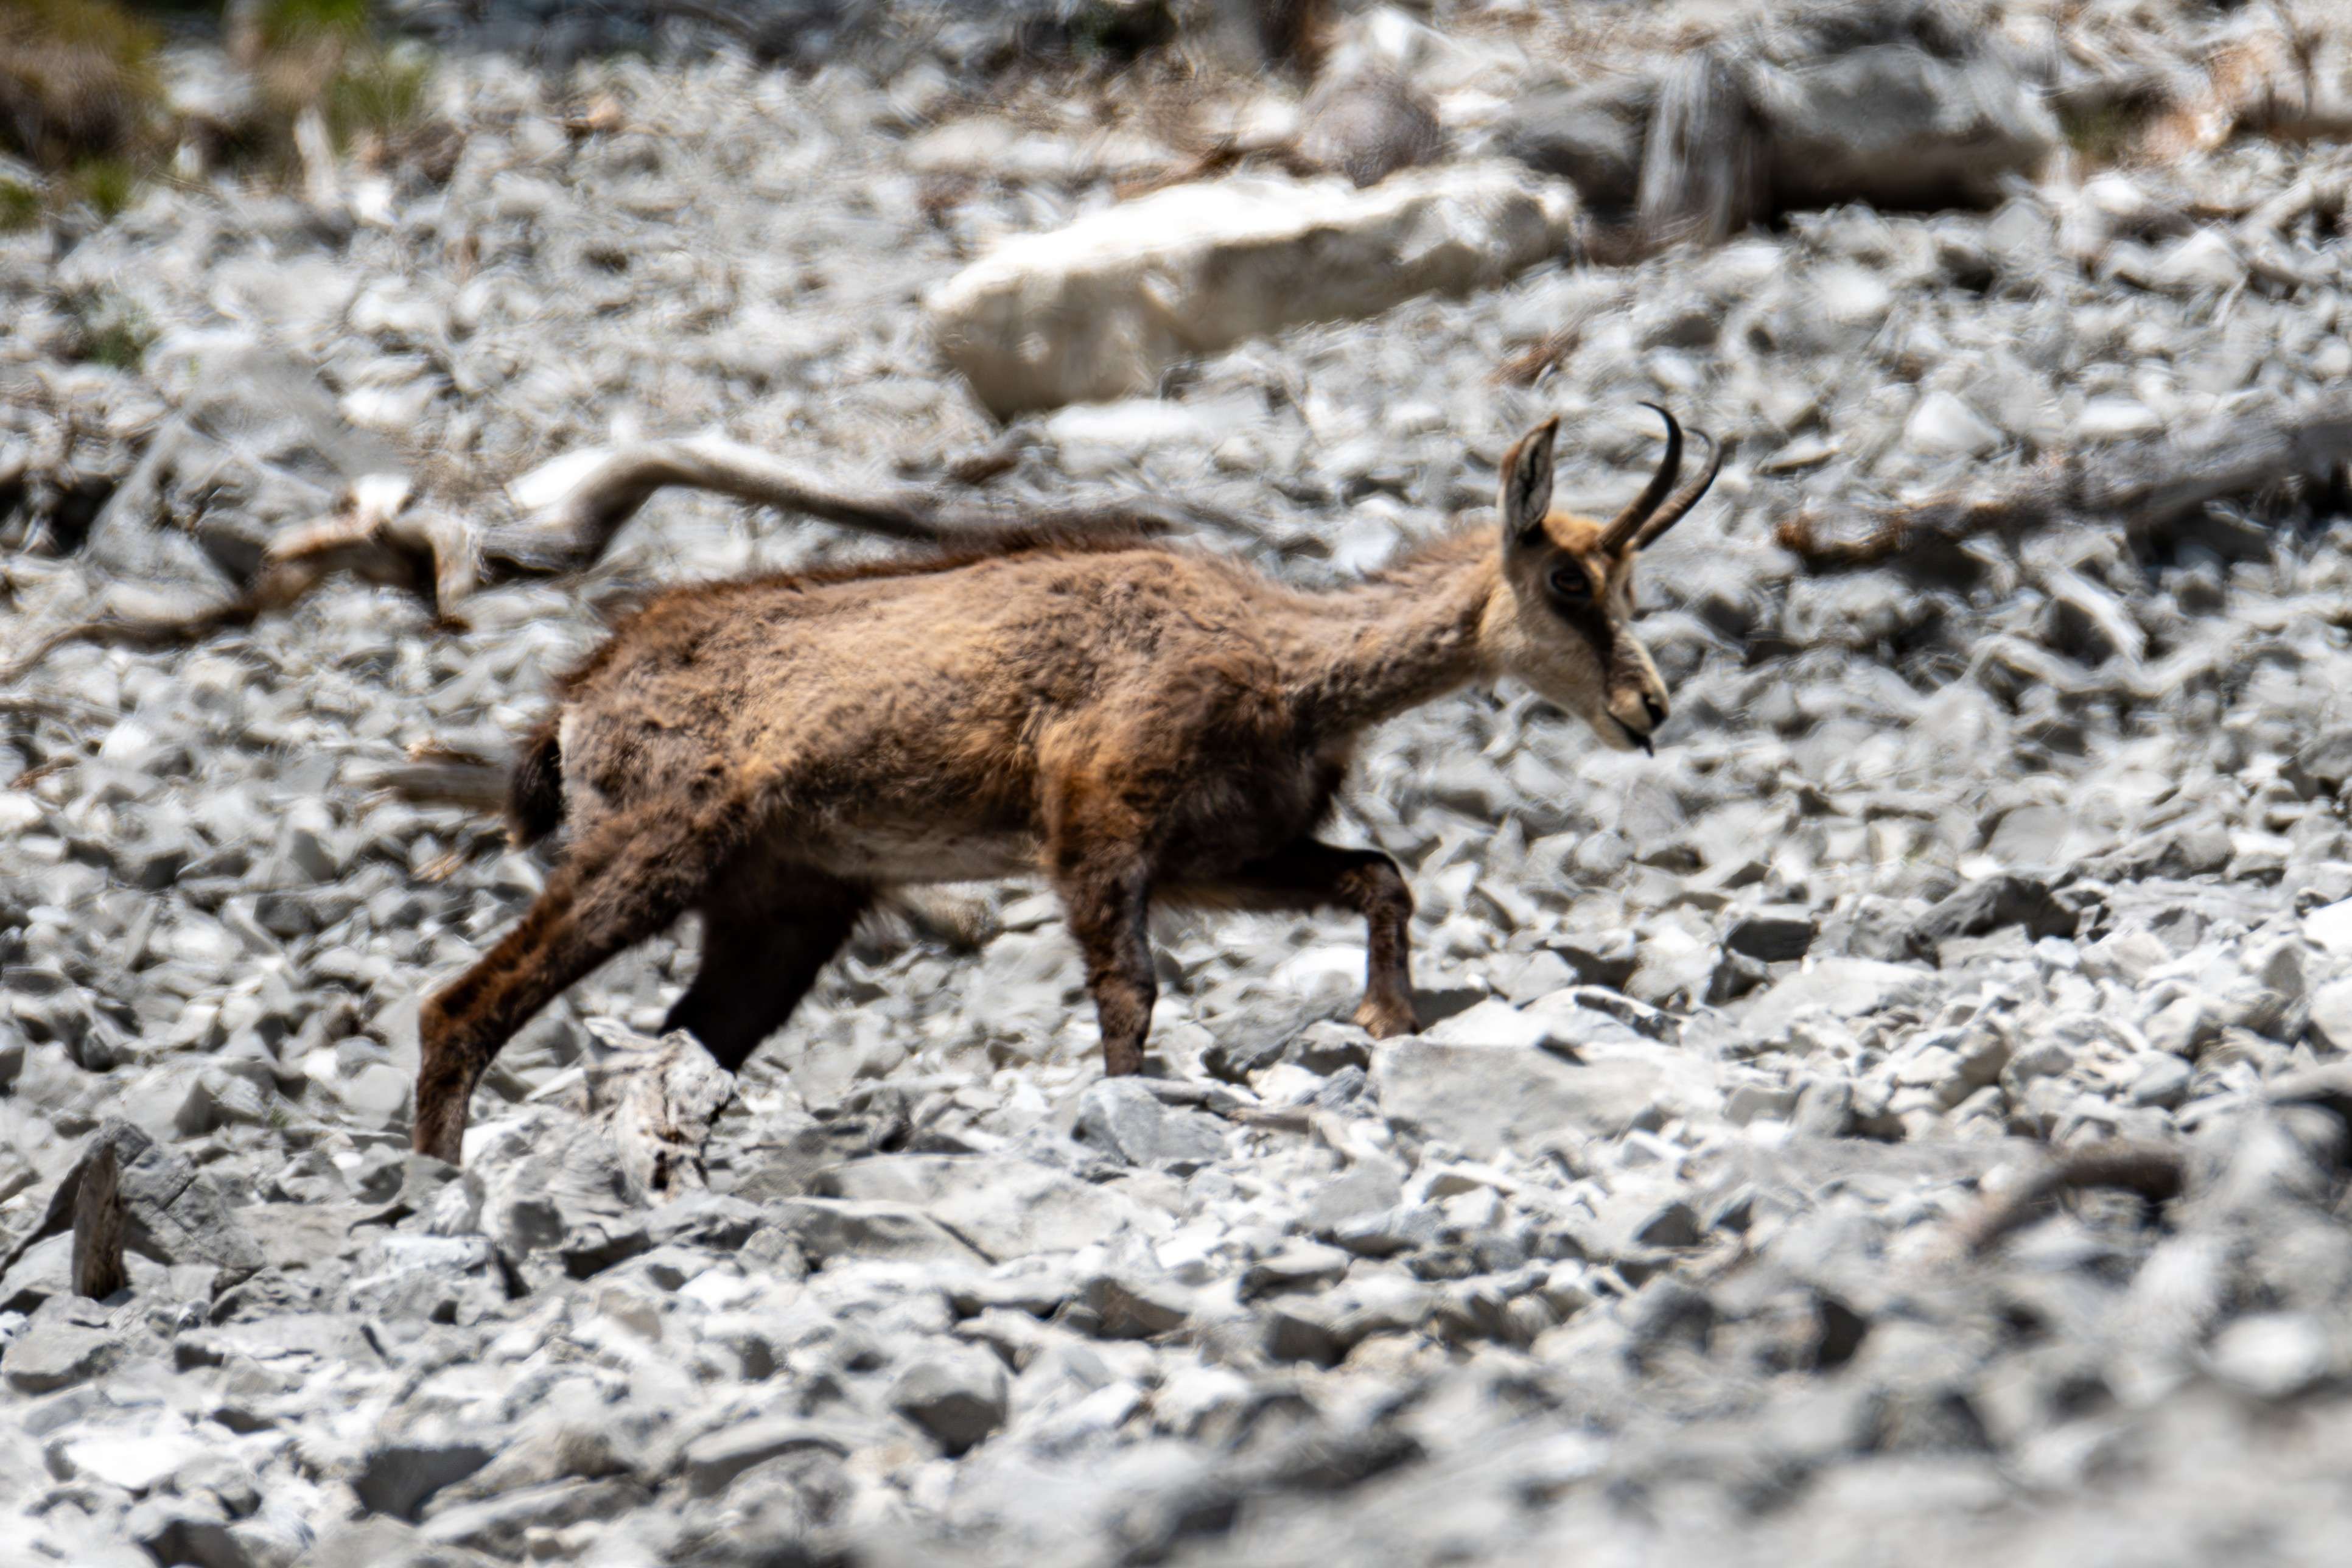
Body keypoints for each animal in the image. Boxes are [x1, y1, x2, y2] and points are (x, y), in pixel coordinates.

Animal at [411, 406, 1722, 1162]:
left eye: (1629, 582)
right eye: (1568, 582)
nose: (1648, 707)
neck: (1281, 661)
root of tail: (576, 701)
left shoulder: (1223, 855)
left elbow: (1379, 878)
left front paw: (1390, 1024)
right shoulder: (1099, 822)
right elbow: (1129, 991)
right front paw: (1129, 1115)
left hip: (784, 902)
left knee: (689, 1034)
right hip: (655, 844)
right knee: (464, 1002)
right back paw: (435, 1177)